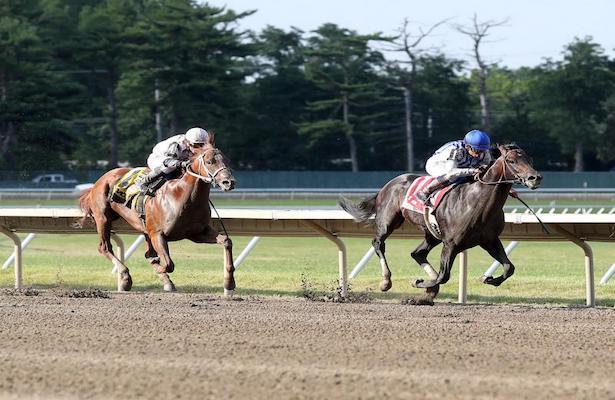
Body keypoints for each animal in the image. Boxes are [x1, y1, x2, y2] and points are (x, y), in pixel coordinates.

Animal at [78, 134, 237, 294]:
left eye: (227, 160)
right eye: (210, 161)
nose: (229, 182)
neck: (182, 196)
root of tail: (100, 180)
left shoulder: (197, 233)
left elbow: (226, 241)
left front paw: (229, 283)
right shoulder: (157, 234)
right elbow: (168, 264)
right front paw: (160, 271)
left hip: (144, 228)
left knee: (147, 253)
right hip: (103, 218)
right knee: (104, 247)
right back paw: (125, 278)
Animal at [340, 144, 540, 300]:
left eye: (530, 159)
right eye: (512, 161)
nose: (535, 178)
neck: (477, 202)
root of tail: (387, 185)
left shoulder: (489, 240)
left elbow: (509, 267)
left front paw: (488, 279)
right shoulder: (451, 244)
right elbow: (444, 276)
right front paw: (420, 282)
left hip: (432, 234)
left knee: (418, 253)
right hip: (388, 221)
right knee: (378, 243)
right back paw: (386, 281)